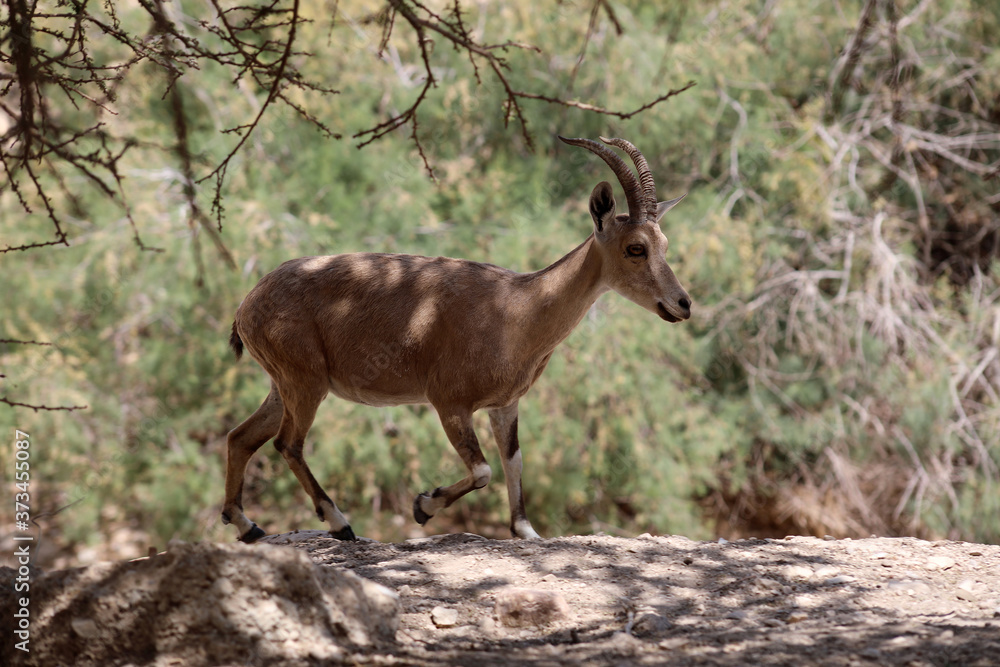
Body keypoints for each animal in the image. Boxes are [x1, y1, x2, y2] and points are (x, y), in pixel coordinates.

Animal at [222, 136, 691, 543]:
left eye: (665, 243)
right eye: (635, 248)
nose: (683, 304)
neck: (518, 310)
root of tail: (246, 305)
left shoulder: (505, 404)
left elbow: (513, 461)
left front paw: (525, 531)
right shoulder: (448, 401)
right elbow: (484, 470)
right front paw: (423, 505)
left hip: (283, 383)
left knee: (240, 437)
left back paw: (247, 526)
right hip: (305, 380)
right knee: (288, 443)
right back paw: (339, 523)